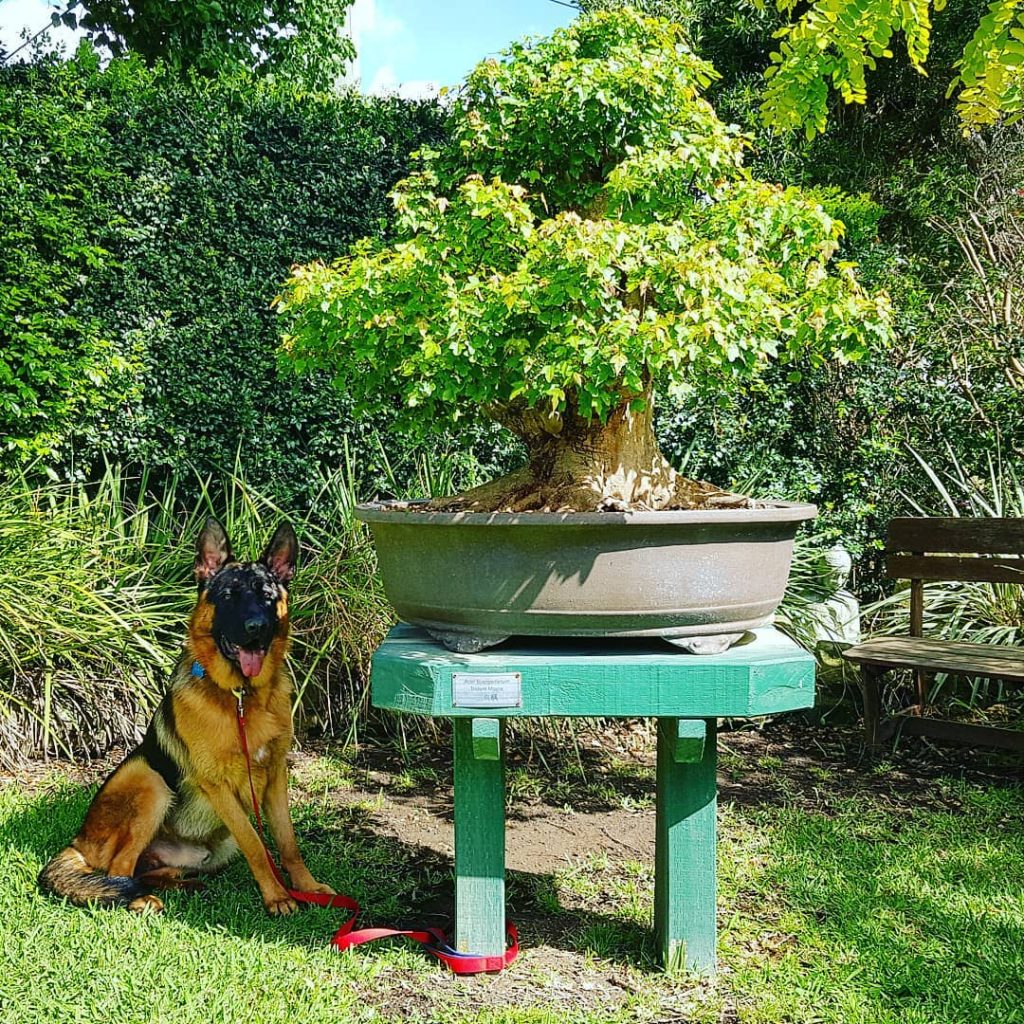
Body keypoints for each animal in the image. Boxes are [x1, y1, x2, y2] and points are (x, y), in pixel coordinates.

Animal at [39, 520, 333, 913]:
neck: (241, 698)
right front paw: (277, 896)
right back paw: (141, 900)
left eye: (268, 597)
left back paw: (180, 884)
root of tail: (78, 841)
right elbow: (256, 844)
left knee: (145, 871)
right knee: (120, 870)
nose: (255, 627)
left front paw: (306, 886)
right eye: (229, 596)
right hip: (149, 781)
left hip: (213, 848)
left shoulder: (274, 775)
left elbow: (288, 843)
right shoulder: (219, 786)